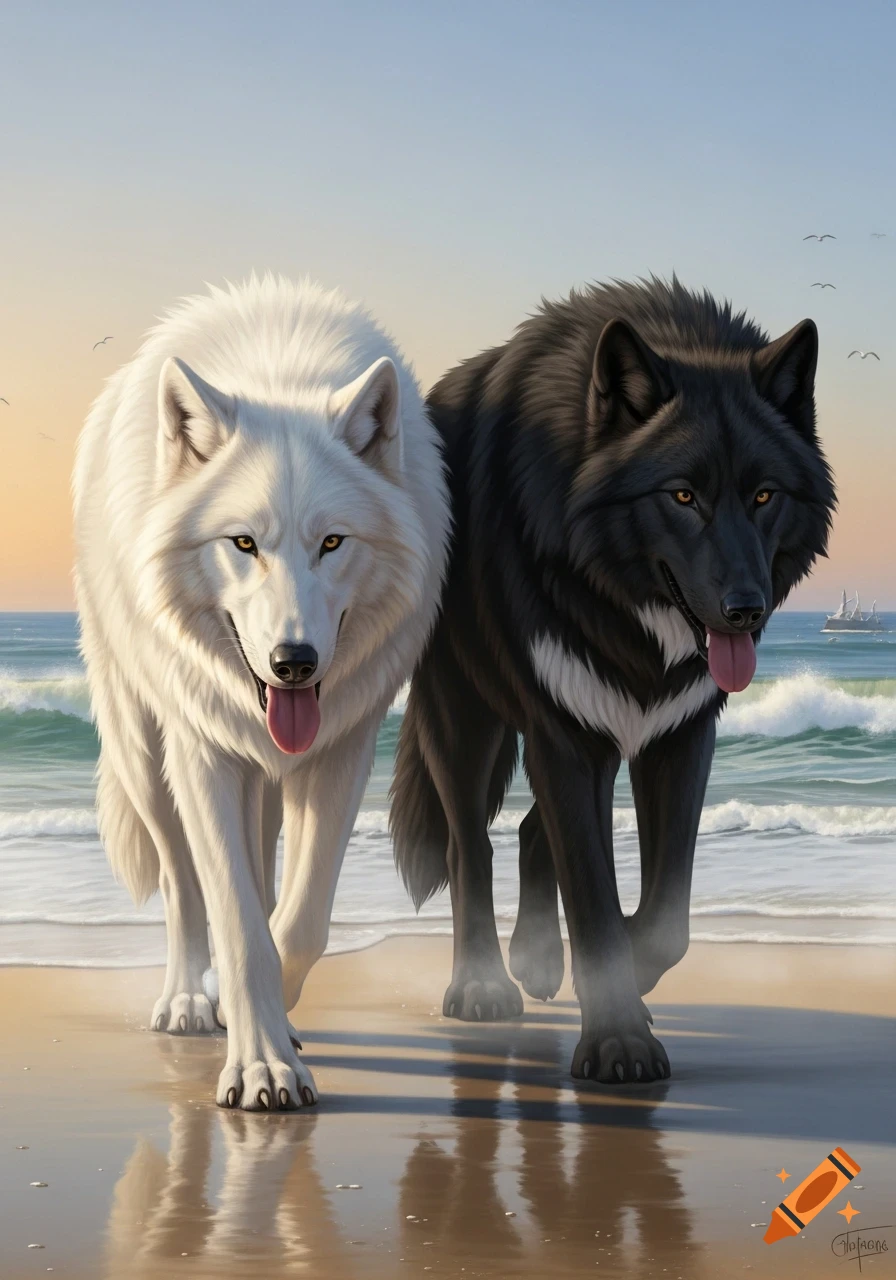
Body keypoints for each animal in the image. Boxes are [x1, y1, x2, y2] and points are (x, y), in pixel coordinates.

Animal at [73, 275, 449, 1110]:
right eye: (243, 543)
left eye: (332, 542)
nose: (294, 663)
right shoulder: (203, 751)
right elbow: (237, 924)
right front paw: (261, 1065)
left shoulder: (344, 748)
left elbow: (298, 920)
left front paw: (278, 1015)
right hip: (147, 756)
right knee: (182, 885)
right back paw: (188, 999)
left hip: (270, 780)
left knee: (265, 865)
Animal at [391, 275, 835, 1084]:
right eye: (682, 496)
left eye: (764, 496)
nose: (746, 610)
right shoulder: (565, 736)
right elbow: (593, 899)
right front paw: (619, 1043)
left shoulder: (680, 736)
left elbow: (664, 914)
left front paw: (627, 979)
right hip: (464, 716)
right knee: (471, 847)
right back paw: (483, 987)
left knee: (530, 832)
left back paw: (537, 965)